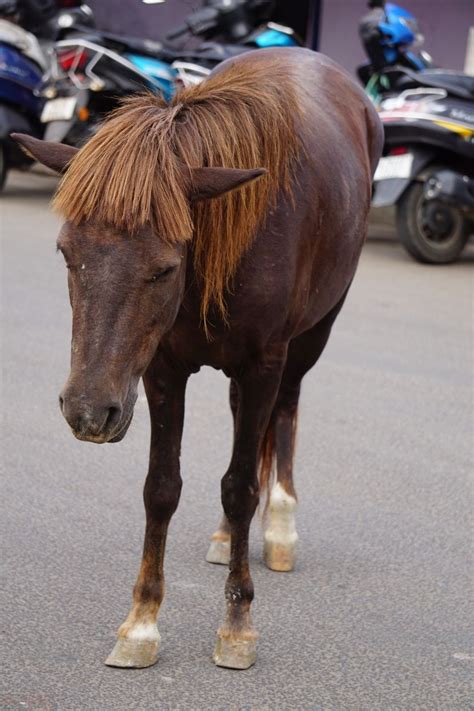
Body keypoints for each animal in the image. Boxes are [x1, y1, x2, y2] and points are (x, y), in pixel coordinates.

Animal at [12, 47, 384, 672]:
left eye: (163, 268)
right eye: (66, 252)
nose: (87, 410)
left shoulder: (264, 363)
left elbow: (241, 486)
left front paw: (237, 625)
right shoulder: (162, 370)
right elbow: (162, 487)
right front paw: (141, 622)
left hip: (315, 332)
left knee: (285, 411)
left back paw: (279, 523)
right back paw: (226, 535)